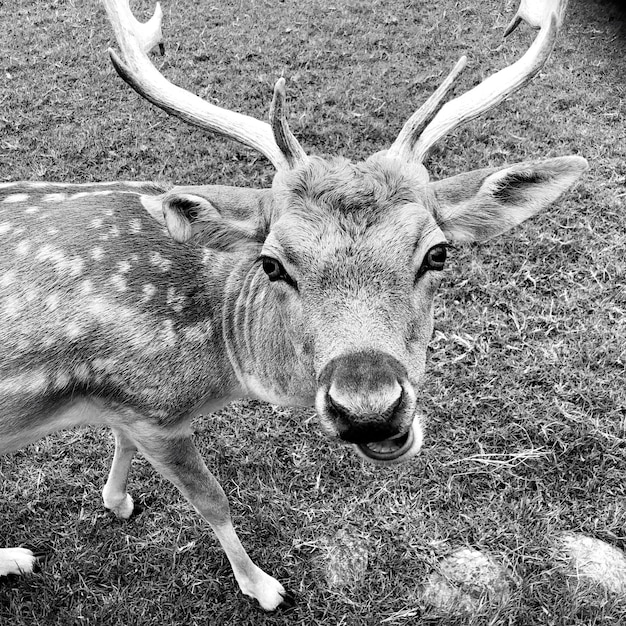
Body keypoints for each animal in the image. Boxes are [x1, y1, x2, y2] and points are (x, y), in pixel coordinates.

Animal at [1, 0, 584, 608]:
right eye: (272, 263)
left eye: (438, 253)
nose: (369, 410)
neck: (220, 368)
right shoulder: (152, 409)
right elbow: (212, 498)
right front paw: (263, 587)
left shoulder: (128, 403)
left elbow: (118, 443)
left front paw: (117, 502)